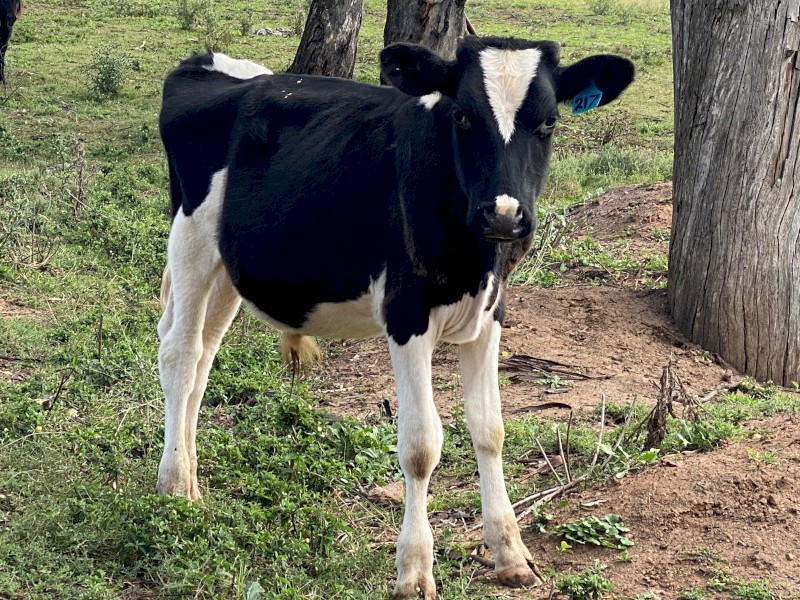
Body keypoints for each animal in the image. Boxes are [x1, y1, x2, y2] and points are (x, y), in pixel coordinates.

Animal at [157, 38, 634, 598]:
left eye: (550, 121)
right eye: (463, 116)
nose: (502, 214)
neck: (472, 259)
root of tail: (203, 62)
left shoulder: (491, 314)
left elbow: (490, 429)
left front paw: (510, 553)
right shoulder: (407, 316)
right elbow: (421, 445)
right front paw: (414, 570)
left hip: (230, 267)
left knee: (204, 358)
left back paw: (191, 478)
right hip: (190, 239)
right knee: (181, 354)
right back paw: (173, 485)